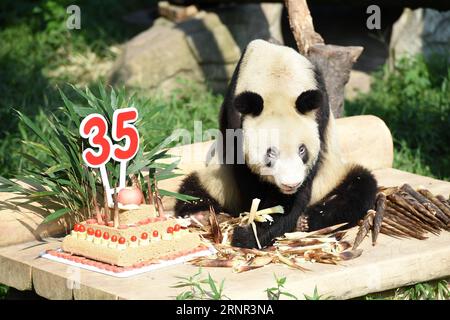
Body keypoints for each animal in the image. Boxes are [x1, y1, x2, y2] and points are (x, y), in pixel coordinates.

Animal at [174, 39, 378, 248]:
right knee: (192, 191)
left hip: (331, 177)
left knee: (359, 187)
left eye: (302, 150)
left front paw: (250, 233)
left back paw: (307, 220)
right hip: (218, 182)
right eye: (270, 152)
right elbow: (249, 180)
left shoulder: (318, 117)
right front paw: (253, 227)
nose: (291, 184)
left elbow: (295, 197)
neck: (278, 81)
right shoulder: (235, 118)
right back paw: (202, 214)